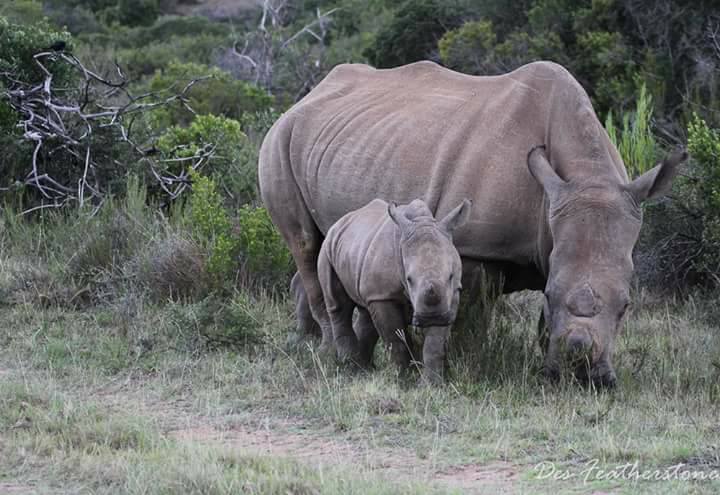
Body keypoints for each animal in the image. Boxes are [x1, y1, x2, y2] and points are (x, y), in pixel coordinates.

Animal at [318, 199, 470, 384]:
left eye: (450, 276)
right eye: (409, 279)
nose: (432, 317)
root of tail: (341, 221)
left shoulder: (451, 296)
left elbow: (435, 344)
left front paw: (431, 384)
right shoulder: (383, 296)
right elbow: (394, 339)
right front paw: (403, 380)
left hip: (356, 251)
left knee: (366, 312)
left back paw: (363, 369)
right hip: (327, 247)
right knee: (338, 306)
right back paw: (350, 369)